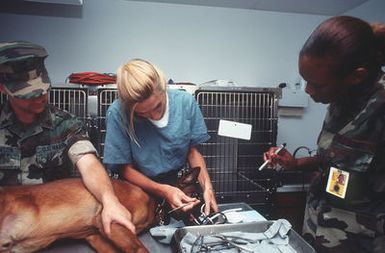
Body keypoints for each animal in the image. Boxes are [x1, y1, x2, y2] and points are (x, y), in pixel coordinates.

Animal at [0, 167, 202, 252]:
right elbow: (140, 249)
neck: (155, 201)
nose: (205, 216)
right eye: (196, 197)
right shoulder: (115, 224)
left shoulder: (98, 236)